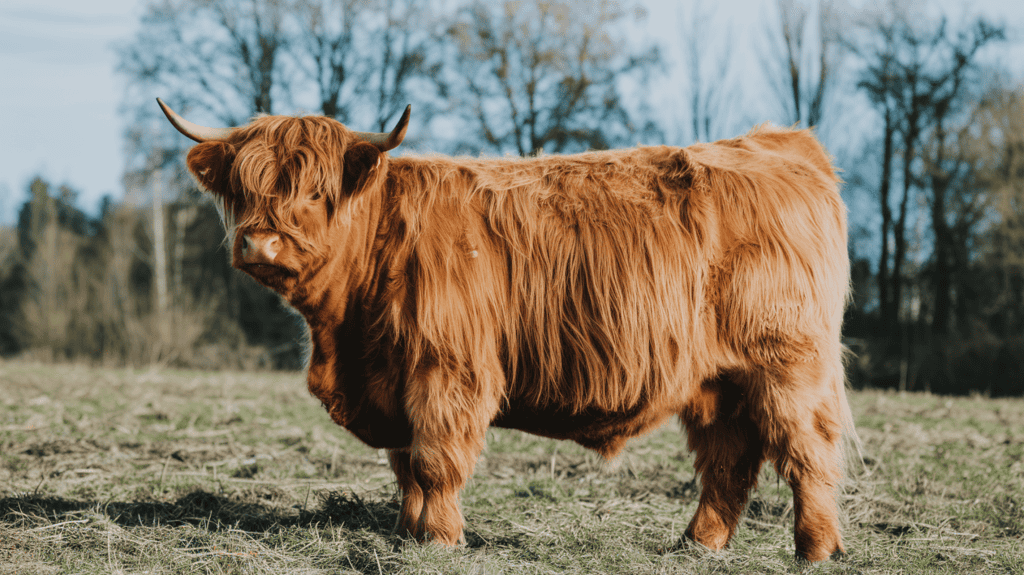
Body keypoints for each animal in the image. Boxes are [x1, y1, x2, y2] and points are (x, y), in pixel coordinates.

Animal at [157, 97, 856, 561]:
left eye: (314, 191)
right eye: (245, 187)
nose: (259, 243)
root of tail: (781, 144)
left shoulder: (447, 370)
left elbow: (434, 461)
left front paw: (442, 540)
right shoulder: (393, 380)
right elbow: (405, 465)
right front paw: (408, 534)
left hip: (788, 365)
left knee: (807, 453)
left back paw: (816, 550)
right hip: (719, 381)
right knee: (729, 460)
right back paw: (696, 545)